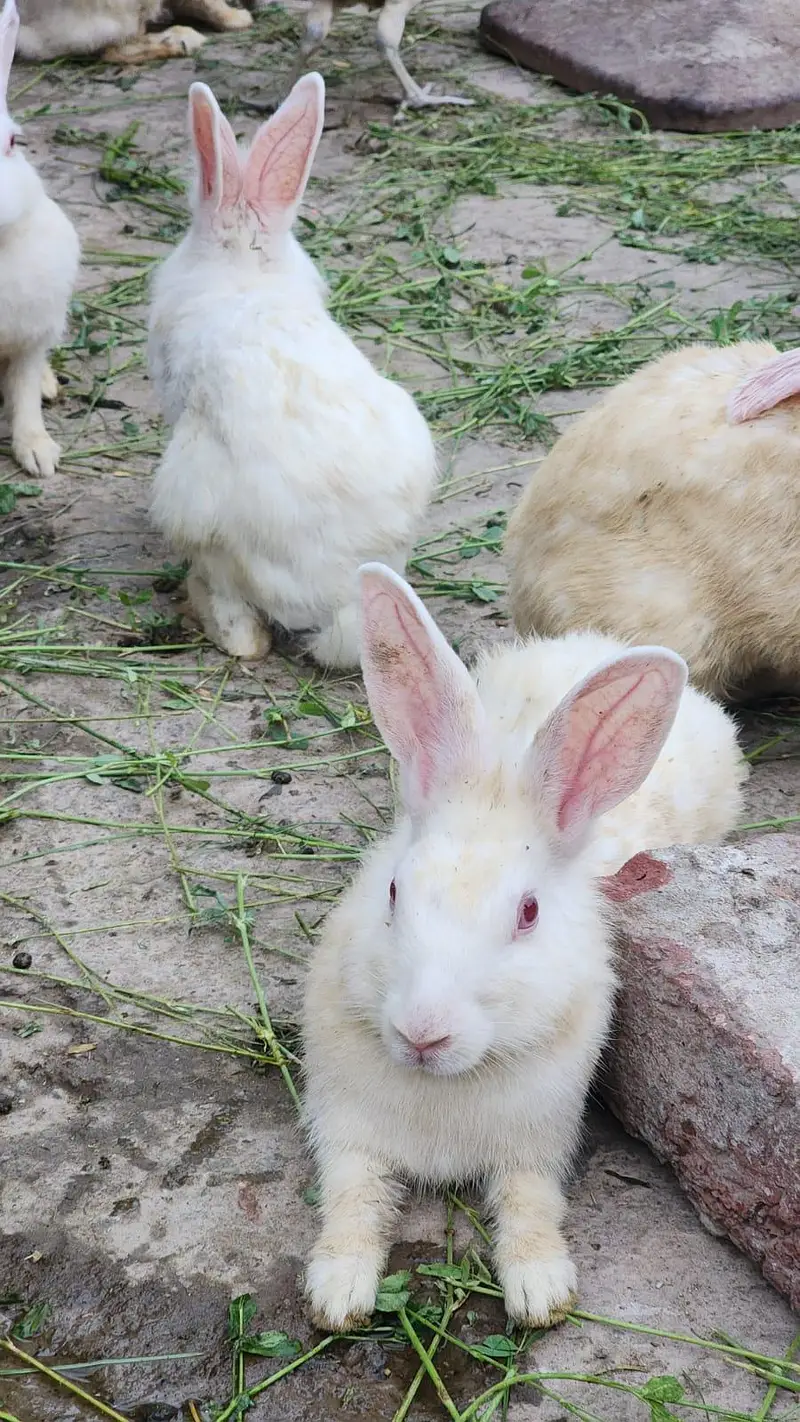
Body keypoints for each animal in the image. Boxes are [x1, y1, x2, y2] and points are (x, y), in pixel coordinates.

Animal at [302, 564, 746, 1331]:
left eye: (528, 913)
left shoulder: (539, 1146)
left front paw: (541, 1292)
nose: (423, 1033)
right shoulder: (346, 1134)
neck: (445, 1087)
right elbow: (352, 1201)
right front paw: (338, 1294)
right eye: (393, 890)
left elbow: (531, 1206)